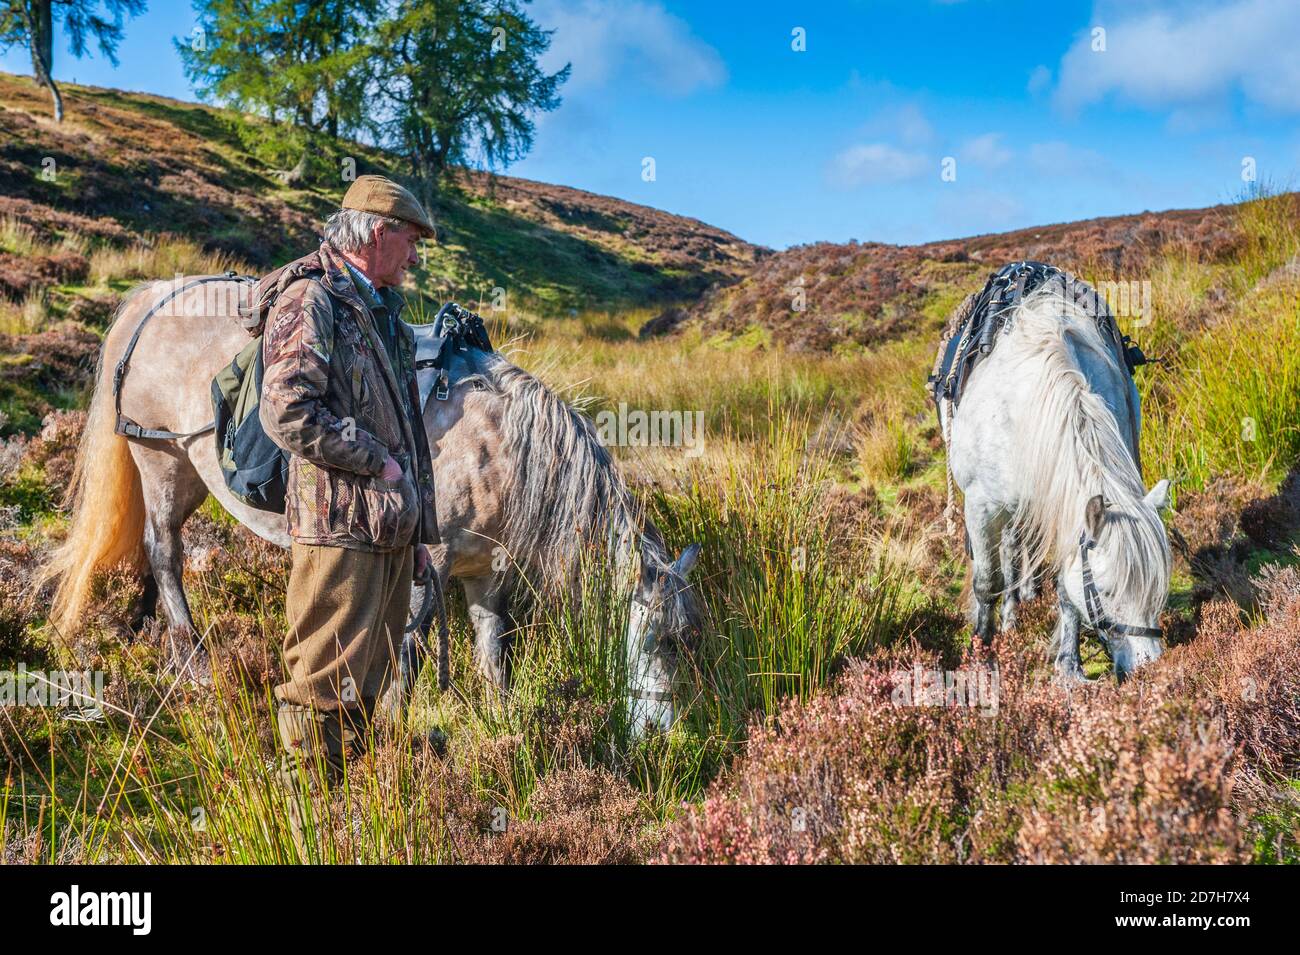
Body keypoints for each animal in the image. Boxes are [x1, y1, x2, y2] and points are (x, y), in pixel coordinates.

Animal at [941, 283, 1175, 680]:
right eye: (1107, 592)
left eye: (1157, 588)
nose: (1149, 669)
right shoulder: (982, 506)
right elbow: (987, 583)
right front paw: (981, 656)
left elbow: (1066, 587)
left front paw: (1069, 664)